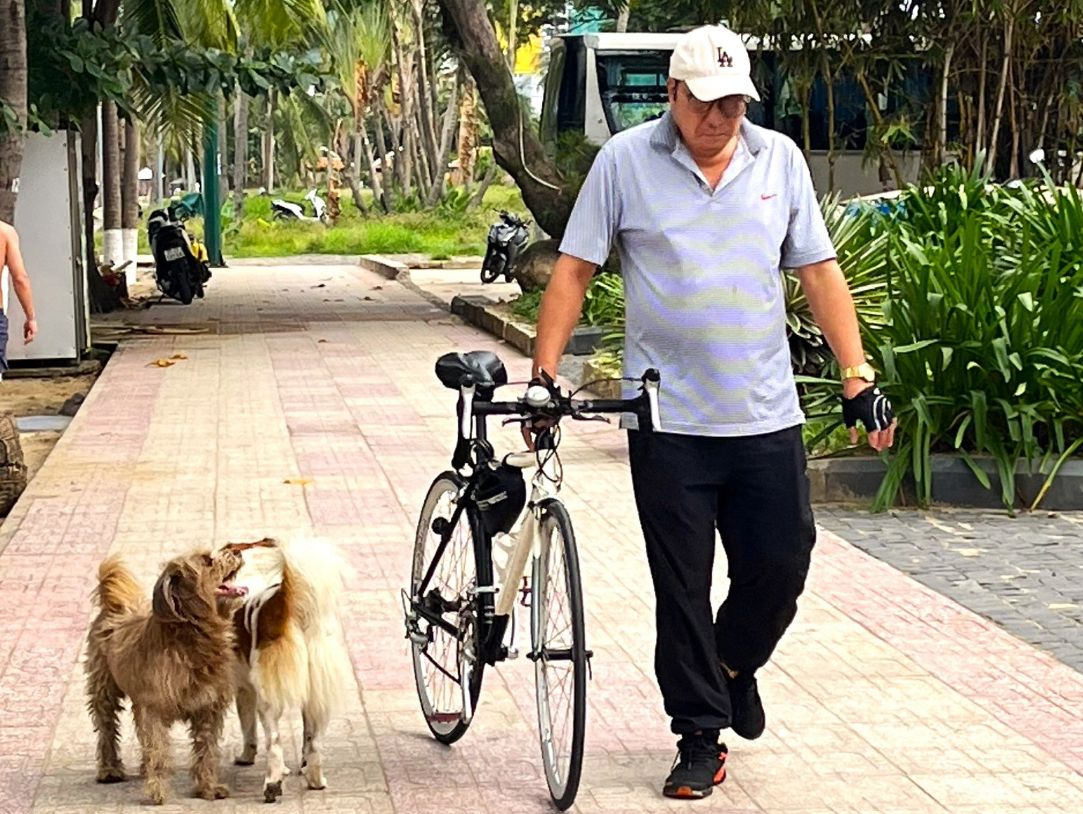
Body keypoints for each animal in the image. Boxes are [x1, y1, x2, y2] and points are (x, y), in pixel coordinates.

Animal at [85, 549, 248, 805]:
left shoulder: (208, 707)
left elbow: (207, 751)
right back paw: (109, 770)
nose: (237, 550)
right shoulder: (154, 709)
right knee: (107, 729)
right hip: (104, 690)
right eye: (207, 560)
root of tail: (114, 604)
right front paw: (158, 792)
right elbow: (159, 751)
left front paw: (207, 788)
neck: (193, 641)